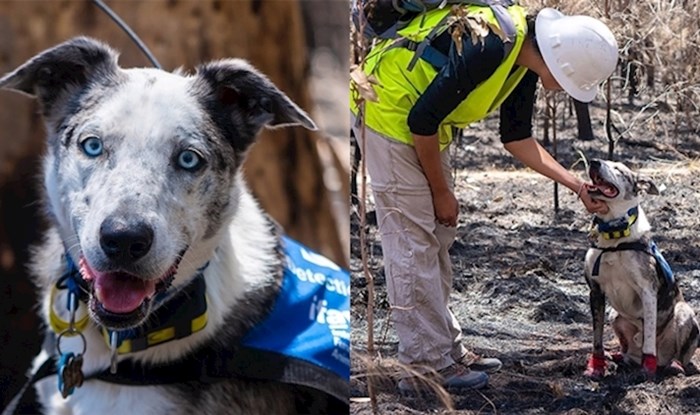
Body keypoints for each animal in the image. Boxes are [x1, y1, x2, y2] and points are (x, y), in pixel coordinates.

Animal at [584, 159, 696, 380]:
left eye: (618, 169)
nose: (594, 162)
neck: (615, 237)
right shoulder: (595, 290)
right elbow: (597, 337)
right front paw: (597, 366)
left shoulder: (648, 290)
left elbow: (650, 336)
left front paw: (647, 368)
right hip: (614, 315)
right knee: (628, 349)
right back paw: (620, 358)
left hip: (684, 312)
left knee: (680, 357)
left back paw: (674, 365)